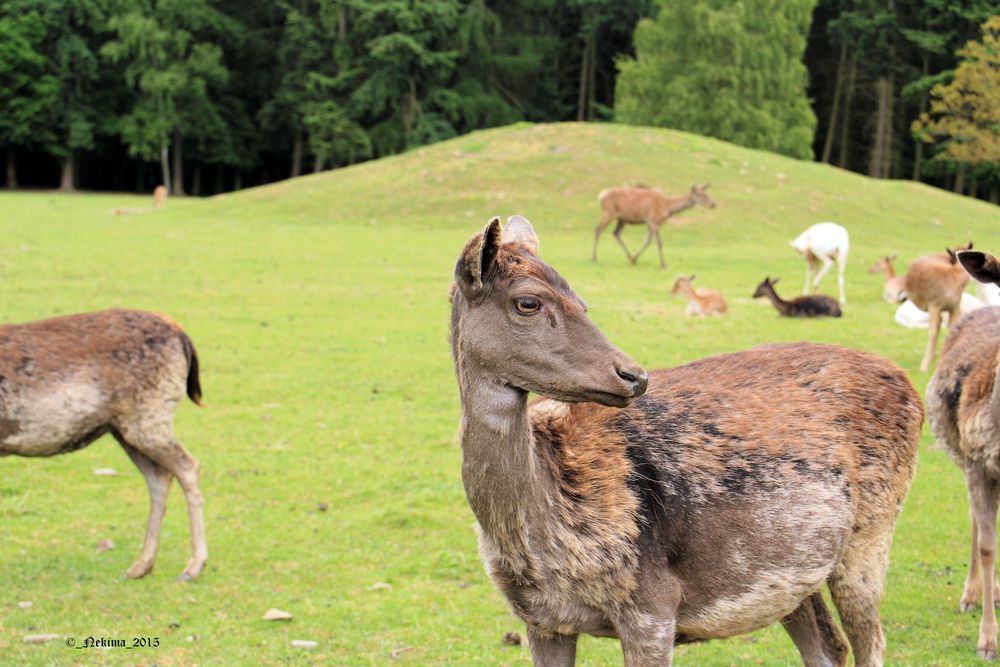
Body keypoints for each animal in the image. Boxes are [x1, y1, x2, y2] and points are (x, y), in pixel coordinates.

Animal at [0, 308, 207, 580]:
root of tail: (183, 337)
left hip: (149, 420)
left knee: (188, 466)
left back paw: (193, 567)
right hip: (125, 430)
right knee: (160, 478)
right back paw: (141, 566)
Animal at [454, 217, 920, 664]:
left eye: (581, 300)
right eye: (528, 302)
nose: (633, 375)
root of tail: (905, 381)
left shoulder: (653, 602)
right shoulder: (541, 619)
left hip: (872, 531)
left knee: (870, 639)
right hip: (795, 577)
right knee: (827, 646)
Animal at [588, 184, 716, 270]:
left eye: (707, 194)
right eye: (700, 194)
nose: (713, 204)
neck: (667, 208)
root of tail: (601, 195)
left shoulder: (649, 222)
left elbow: (647, 241)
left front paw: (634, 258)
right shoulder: (654, 220)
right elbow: (659, 242)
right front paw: (663, 264)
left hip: (622, 219)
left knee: (616, 233)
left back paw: (629, 257)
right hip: (608, 212)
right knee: (597, 230)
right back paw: (594, 257)